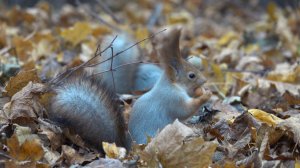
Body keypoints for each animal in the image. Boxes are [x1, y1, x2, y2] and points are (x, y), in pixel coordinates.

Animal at [47, 26, 211, 150]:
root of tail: (131, 148)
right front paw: (205, 95)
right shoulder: (171, 98)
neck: (172, 84)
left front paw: (199, 91)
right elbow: (185, 111)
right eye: (191, 75)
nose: (205, 80)